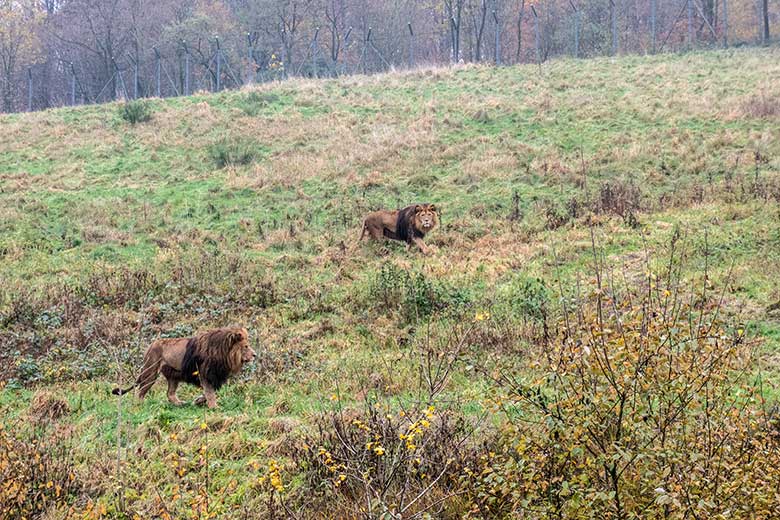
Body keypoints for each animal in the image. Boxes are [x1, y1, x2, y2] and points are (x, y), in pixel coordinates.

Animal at [112, 328, 256, 408]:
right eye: (246, 346)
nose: (255, 355)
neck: (224, 354)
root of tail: (151, 345)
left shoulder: (214, 377)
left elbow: (208, 393)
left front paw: (198, 401)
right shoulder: (205, 374)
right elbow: (210, 393)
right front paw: (214, 407)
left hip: (173, 376)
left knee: (169, 394)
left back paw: (180, 403)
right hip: (150, 371)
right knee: (140, 391)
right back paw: (139, 405)